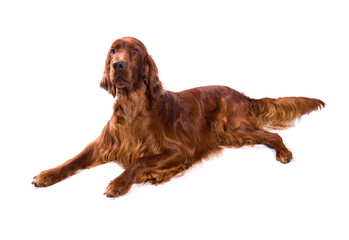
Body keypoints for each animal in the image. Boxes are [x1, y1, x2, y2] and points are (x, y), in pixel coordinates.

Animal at [32, 37, 324, 197]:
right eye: (113, 50)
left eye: (135, 51)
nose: (117, 65)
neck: (133, 107)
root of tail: (241, 95)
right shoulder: (105, 143)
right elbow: (75, 158)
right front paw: (47, 174)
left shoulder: (180, 150)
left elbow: (138, 161)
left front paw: (119, 182)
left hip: (233, 127)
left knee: (273, 135)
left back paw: (284, 153)